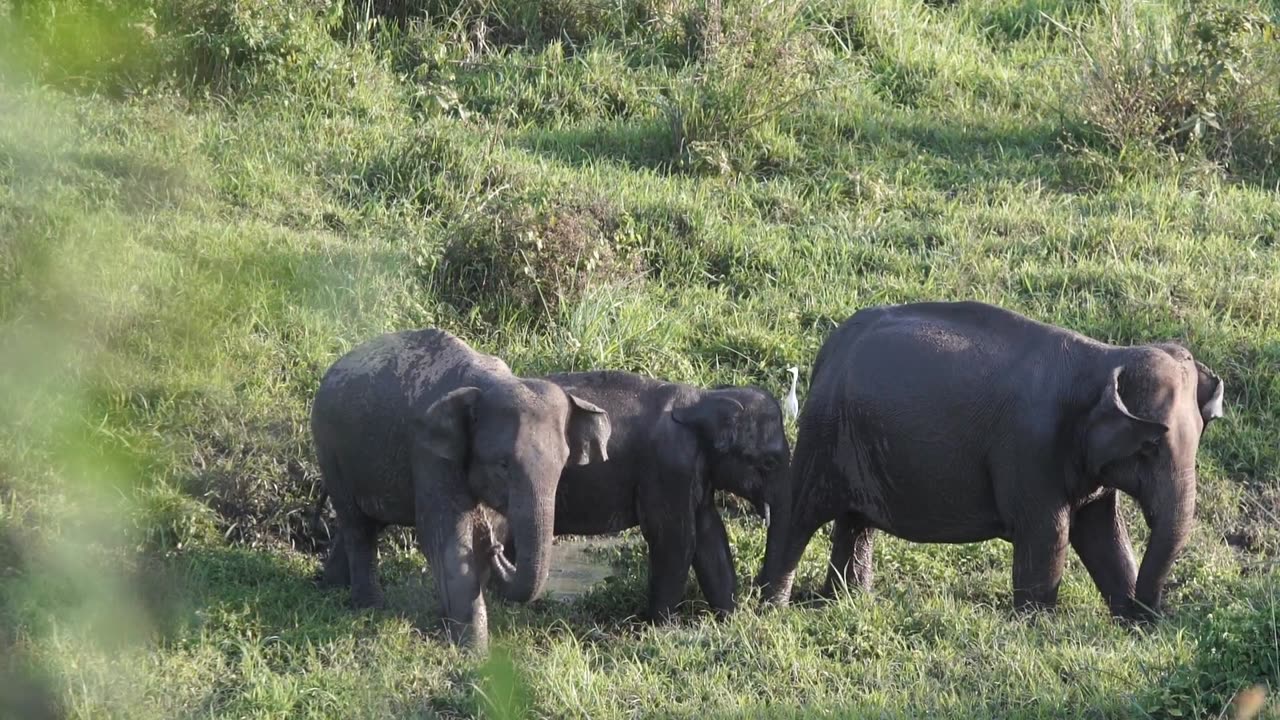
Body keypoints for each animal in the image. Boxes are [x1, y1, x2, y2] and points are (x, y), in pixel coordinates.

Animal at [309, 327, 609, 648]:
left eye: (563, 464)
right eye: (503, 464)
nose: (496, 548)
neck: (489, 381)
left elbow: (489, 529)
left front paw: (448, 624)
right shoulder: (429, 452)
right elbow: (444, 535)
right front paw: (473, 650)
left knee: (367, 521)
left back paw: (331, 588)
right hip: (330, 449)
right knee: (357, 525)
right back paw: (369, 607)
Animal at [488, 368, 788, 617]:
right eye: (769, 463)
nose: (763, 606)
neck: (703, 399)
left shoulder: (695, 470)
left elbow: (709, 533)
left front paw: (728, 618)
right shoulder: (668, 466)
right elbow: (673, 538)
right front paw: (657, 625)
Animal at [752, 299, 1223, 620]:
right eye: (1149, 447)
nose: (1152, 613)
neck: (1105, 356)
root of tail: (830, 347)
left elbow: (1102, 533)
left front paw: (1130, 622)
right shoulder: (1030, 450)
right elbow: (1050, 534)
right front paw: (1037, 626)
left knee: (855, 521)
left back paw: (848, 601)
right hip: (824, 432)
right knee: (799, 513)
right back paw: (771, 608)